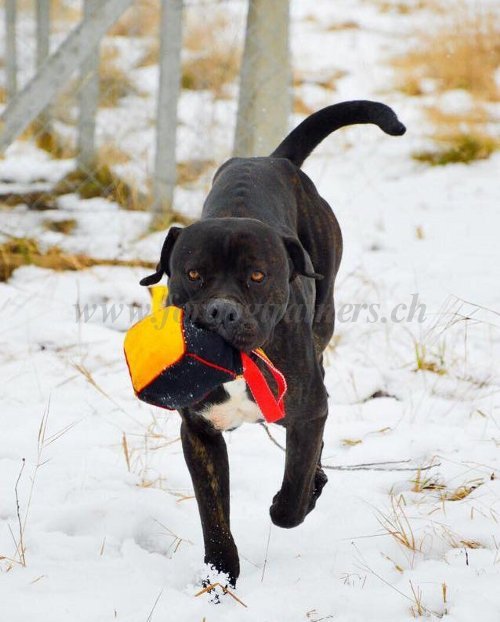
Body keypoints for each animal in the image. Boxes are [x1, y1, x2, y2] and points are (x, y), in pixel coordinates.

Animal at [141, 100, 406, 588]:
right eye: (193, 273)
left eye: (258, 276)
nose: (221, 312)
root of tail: (274, 160)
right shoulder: (199, 432)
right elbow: (213, 513)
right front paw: (220, 575)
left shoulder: (307, 411)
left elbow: (293, 491)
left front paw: (294, 501)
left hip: (323, 316)